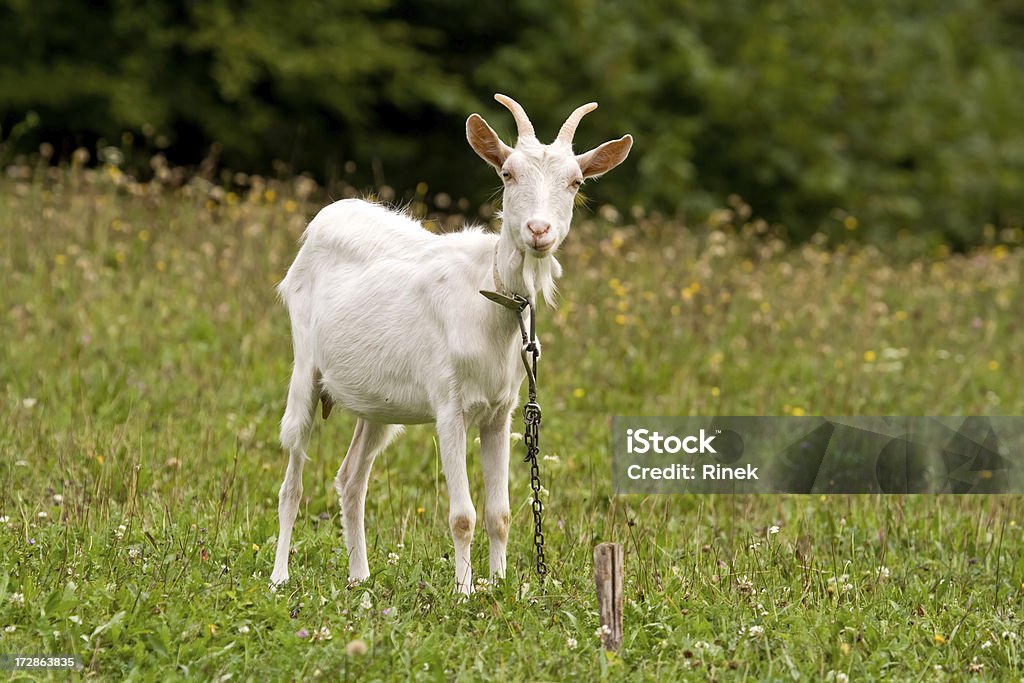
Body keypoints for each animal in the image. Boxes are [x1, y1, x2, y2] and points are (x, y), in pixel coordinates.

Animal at [268, 92, 626, 593]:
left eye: (575, 182)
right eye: (507, 173)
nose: (539, 231)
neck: (490, 298)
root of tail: (326, 215)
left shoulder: (501, 413)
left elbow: (499, 514)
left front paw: (498, 586)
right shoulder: (449, 406)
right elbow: (463, 516)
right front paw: (464, 591)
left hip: (378, 406)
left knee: (351, 478)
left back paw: (360, 577)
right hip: (304, 366)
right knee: (293, 478)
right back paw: (279, 577)